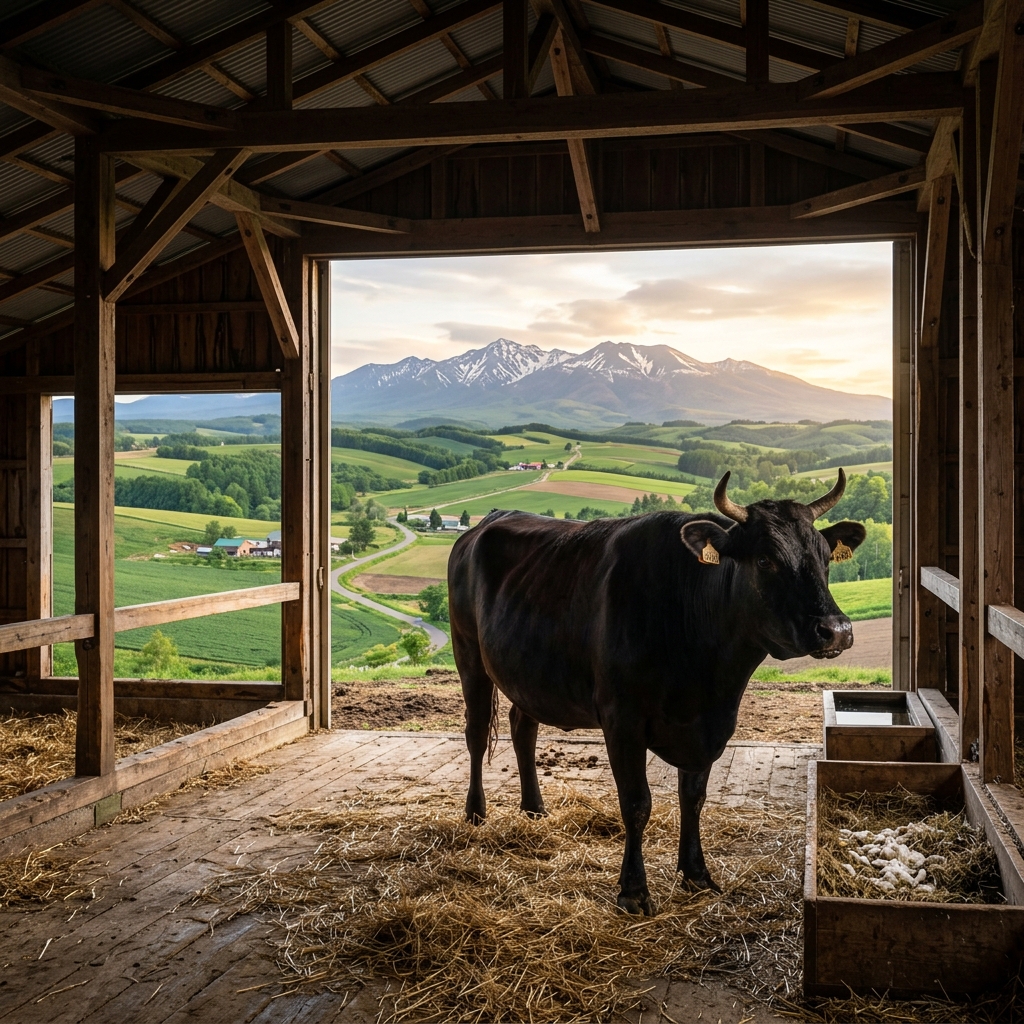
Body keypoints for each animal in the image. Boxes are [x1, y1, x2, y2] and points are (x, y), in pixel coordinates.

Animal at [447, 470, 865, 915]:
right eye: (766, 559)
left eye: (825, 558)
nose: (836, 629)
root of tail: (487, 520)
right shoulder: (622, 720)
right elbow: (636, 803)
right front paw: (633, 891)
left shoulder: (707, 727)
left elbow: (693, 798)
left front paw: (696, 874)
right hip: (468, 653)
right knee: (476, 732)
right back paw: (475, 813)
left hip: (527, 673)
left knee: (522, 727)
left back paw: (534, 809)